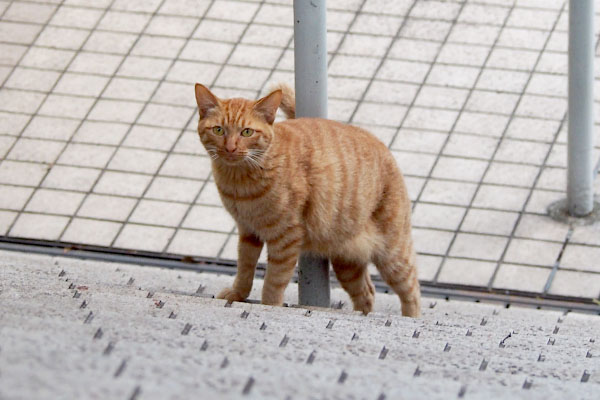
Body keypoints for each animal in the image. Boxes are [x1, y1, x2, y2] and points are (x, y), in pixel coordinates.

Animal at [195, 83, 420, 318]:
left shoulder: (285, 238)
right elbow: (245, 268)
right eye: (218, 130)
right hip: (347, 264)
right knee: (367, 292)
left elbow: (274, 280)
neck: (239, 182)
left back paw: (411, 316)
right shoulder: (248, 232)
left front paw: (269, 306)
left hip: (393, 256)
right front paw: (238, 294)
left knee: (411, 290)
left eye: (246, 132)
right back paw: (362, 313)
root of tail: (379, 142)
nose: (230, 148)